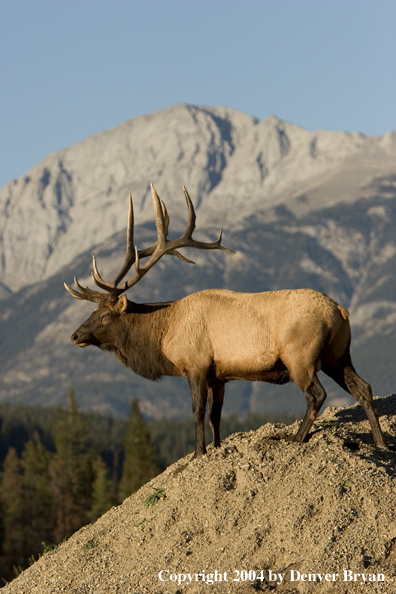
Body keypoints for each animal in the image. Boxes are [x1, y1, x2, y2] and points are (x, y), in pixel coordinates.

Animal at [65, 184, 386, 454]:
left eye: (104, 316)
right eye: (91, 312)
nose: (75, 335)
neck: (163, 334)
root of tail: (341, 311)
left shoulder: (195, 365)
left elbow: (197, 412)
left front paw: (199, 453)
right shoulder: (218, 376)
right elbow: (215, 416)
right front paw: (217, 448)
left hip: (300, 356)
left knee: (317, 395)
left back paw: (297, 439)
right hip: (337, 354)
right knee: (363, 388)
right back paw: (381, 443)